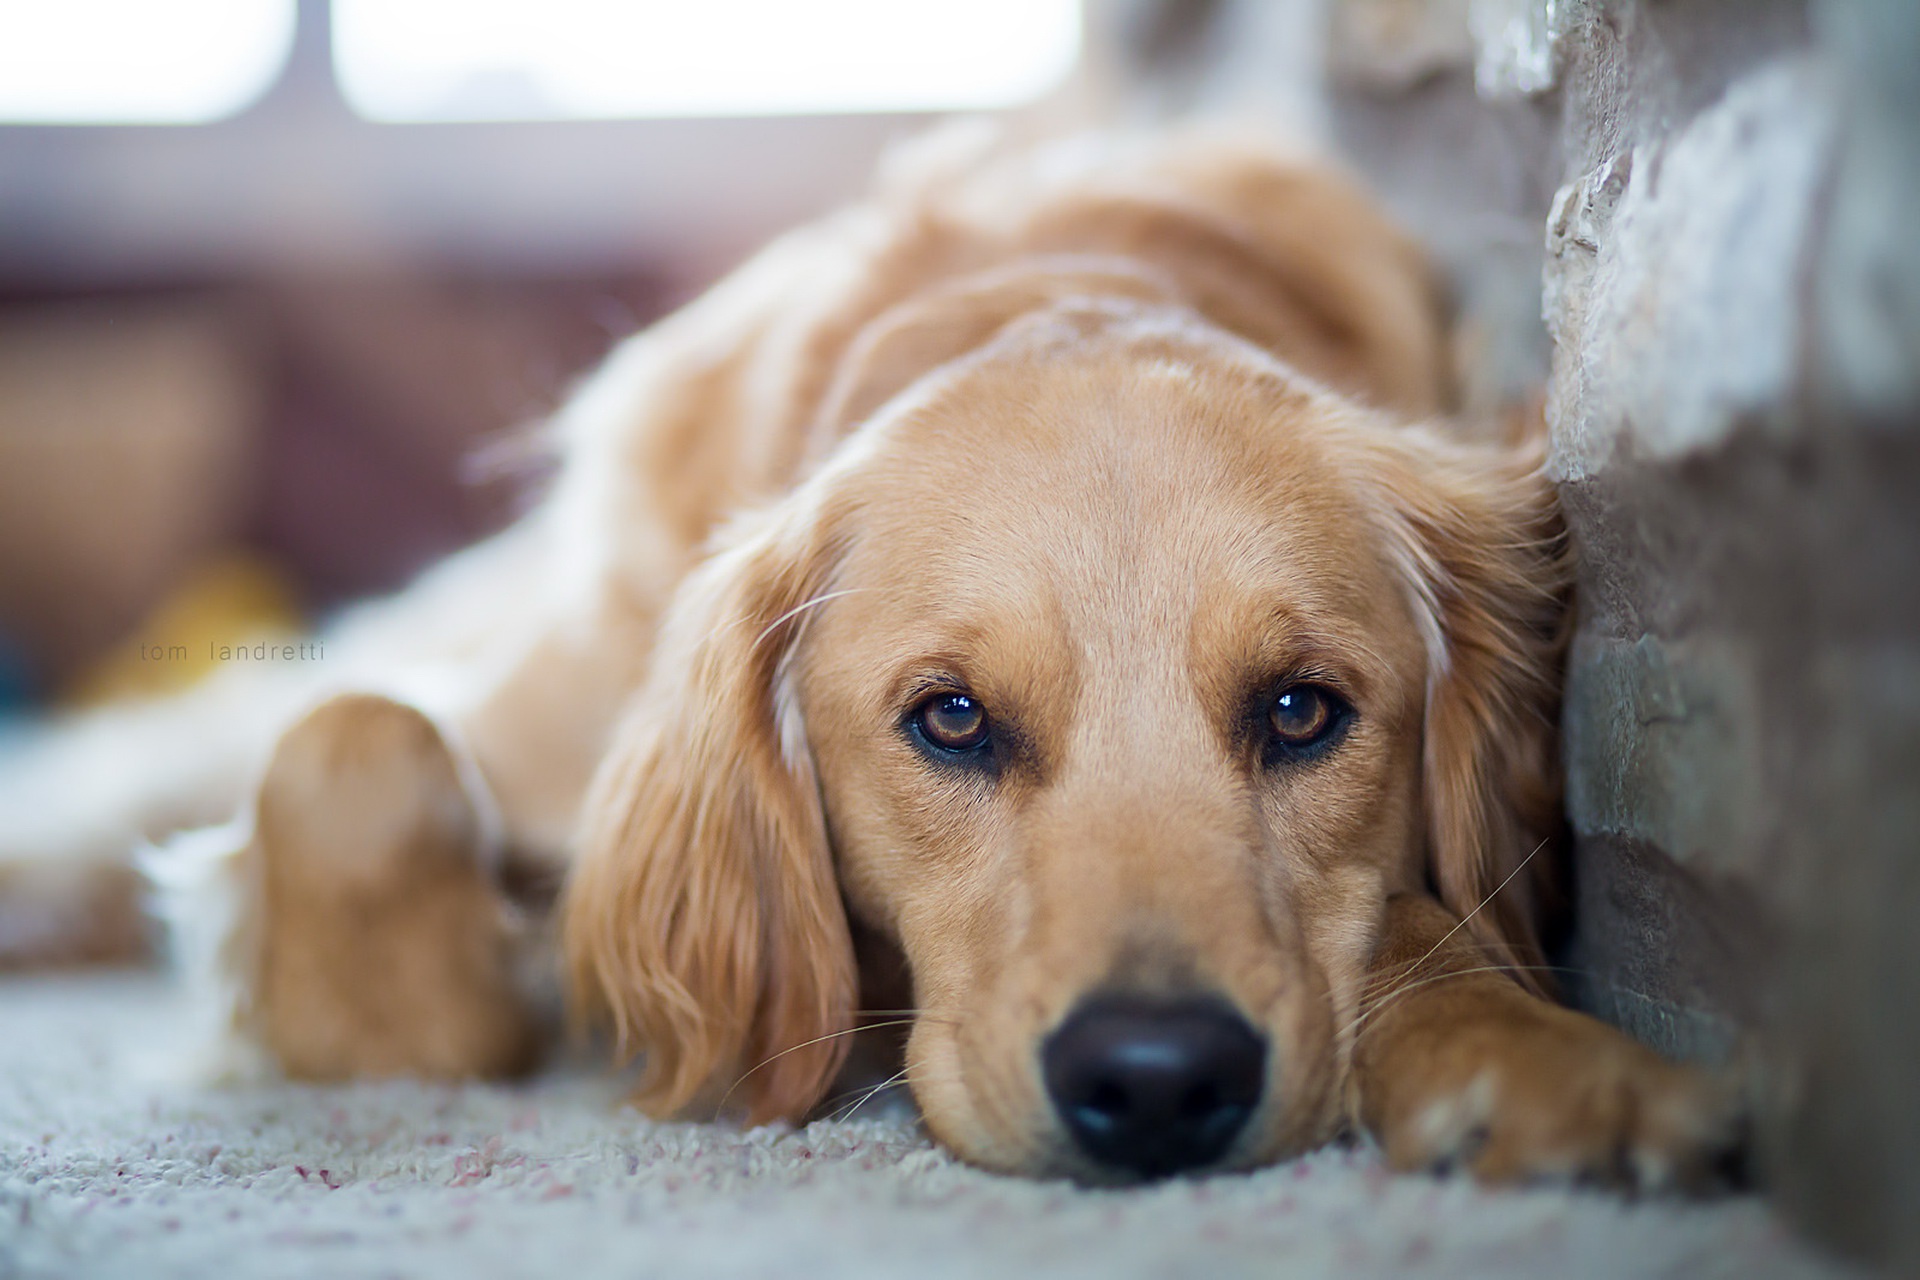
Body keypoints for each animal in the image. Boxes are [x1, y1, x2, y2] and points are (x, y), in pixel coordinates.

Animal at [0, 130, 1743, 1189]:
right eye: (951, 720)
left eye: (1305, 712)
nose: (1157, 1082)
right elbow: (355, 750)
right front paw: (437, 1015)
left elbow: (1421, 931)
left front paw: (1537, 1059)